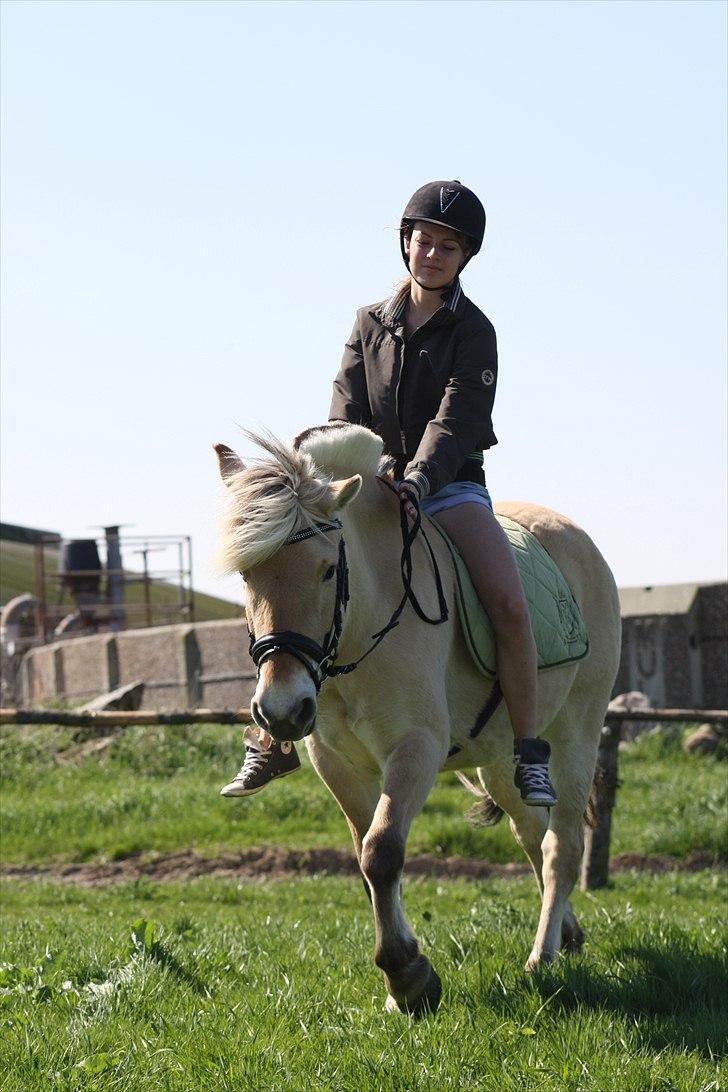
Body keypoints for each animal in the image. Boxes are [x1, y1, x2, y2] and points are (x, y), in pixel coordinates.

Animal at [215, 423, 621, 1015]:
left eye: (328, 570)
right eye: (246, 574)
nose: (281, 710)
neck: (362, 631)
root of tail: (580, 541)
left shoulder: (416, 747)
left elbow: (382, 852)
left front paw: (407, 976)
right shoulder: (336, 763)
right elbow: (367, 860)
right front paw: (400, 980)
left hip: (577, 734)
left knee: (561, 848)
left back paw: (541, 955)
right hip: (498, 764)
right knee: (532, 833)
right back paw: (566, 933)